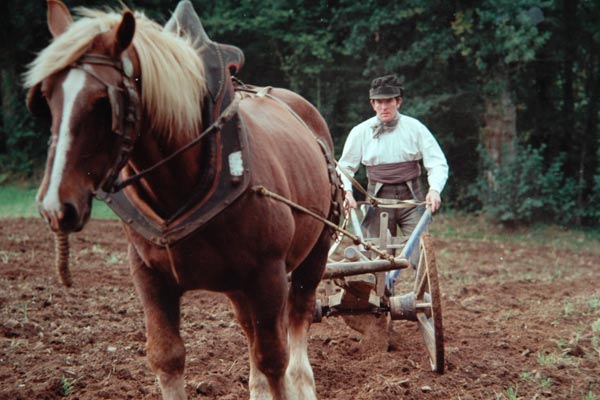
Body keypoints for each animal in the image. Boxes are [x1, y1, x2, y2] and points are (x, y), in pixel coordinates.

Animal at [25, 1, 342, 398]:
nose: (55, 207)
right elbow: (168, 357)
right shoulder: (149, 276)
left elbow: (274, 359)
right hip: (238, 286)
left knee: (298, 319)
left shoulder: (268, 275)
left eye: (102, 102)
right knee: (250, 331)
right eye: (46, 96)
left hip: (314, 252)